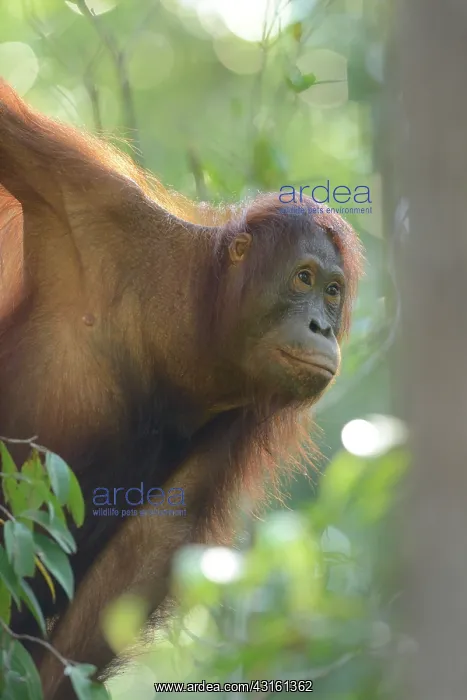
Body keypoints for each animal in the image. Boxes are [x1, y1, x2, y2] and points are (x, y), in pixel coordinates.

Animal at [0, 80, 363, 697]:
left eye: (333, 292)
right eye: (304, 279)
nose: (320, 326)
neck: (185, 326)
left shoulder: (245, 415)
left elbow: (152, 544)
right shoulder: (87, 195)